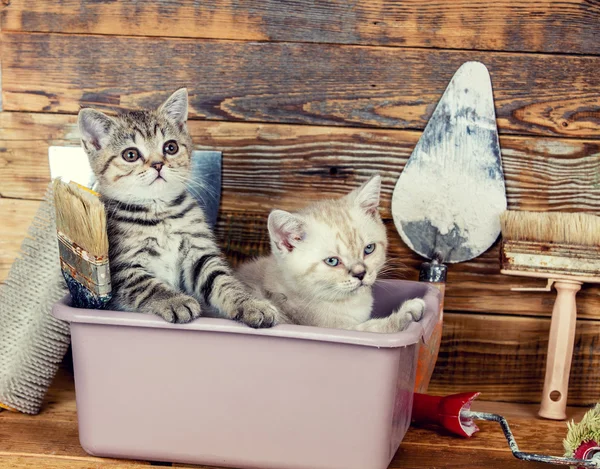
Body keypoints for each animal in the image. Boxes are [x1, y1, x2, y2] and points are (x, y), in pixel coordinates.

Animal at [77, 88, 278, 326]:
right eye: (130, 154)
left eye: (170, 147)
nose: (158, 164)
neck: (159, 213)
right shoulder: (123, 268)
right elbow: (149, 287)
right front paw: (176, 301)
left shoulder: (198, 256)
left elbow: (222, 281)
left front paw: (250, 303)